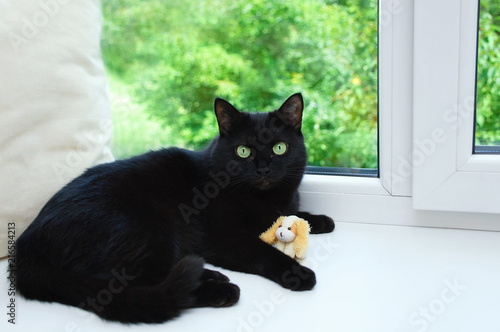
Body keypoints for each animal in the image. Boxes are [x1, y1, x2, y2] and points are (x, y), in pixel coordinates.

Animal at [14, 93, 336, 324]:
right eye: (243, 151)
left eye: (279, 148)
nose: (263, 169)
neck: (264, 199)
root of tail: (27, 243)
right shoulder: (224, 238)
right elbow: (262, 251)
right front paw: (296, 273)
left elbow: (293, 214)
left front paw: (320, 220)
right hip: (149, 226)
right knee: (128, 283)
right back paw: (219, 289)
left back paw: (212, 277)